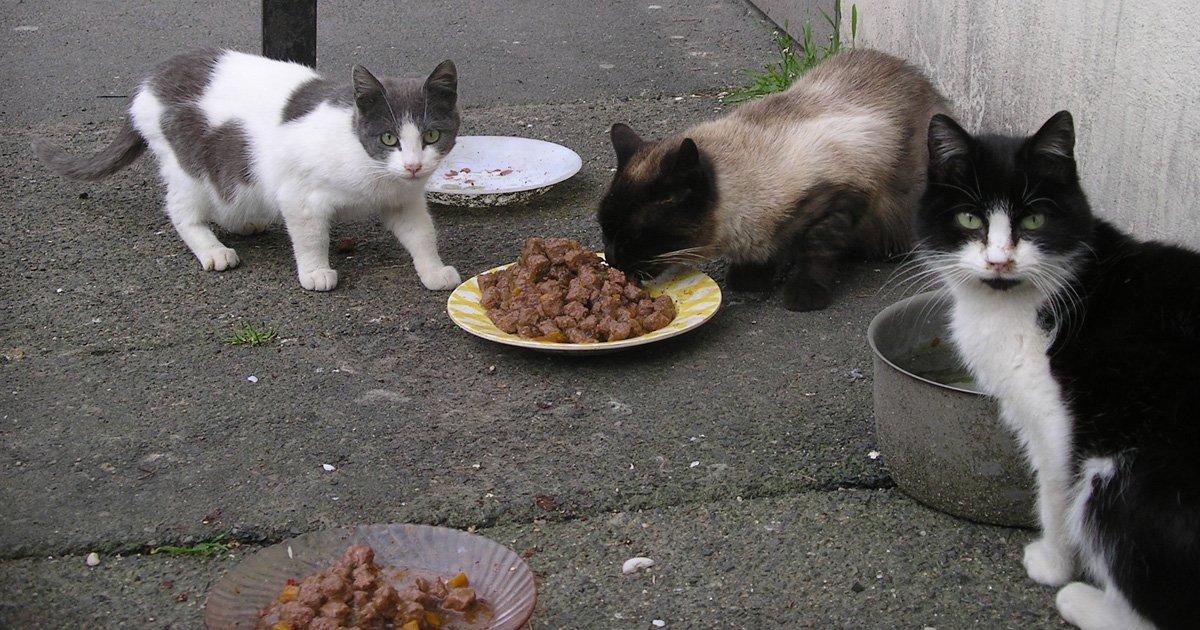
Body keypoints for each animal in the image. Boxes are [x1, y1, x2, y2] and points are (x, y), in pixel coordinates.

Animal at [31, 49, 463, 292]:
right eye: (388, 138)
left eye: (431, 135)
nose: (413, 165)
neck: (370, 169)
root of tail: (149, 82)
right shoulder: (299, 194)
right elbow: (310, 237)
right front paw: (315, 272)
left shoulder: (403, 198)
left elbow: (420, 232)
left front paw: (433, 271)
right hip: (189, 165)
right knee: (182, 210)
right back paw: (212, 249)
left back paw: (246, 223)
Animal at [597, 50, 945, 309]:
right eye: (605, 230)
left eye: (633, 236)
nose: (612, 261)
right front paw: (752, 278)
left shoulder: (840, 201)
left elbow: (816, 251)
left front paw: (803, 295)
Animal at [912, 110, 1195, 624]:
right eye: (969, 218)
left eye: (1034, 219)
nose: (999, 260)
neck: (1008, 304)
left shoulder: (1055, 420)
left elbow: (1055, 490)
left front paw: (1053, 564)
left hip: (1125, 478)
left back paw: (1082, 600)